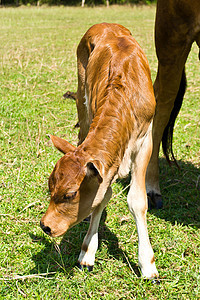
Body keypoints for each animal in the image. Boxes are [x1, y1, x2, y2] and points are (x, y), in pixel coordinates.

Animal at [40, 22, 159, 278]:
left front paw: (147, 263)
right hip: (82, 101)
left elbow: (137, 200)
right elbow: (102, 195)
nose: (45, 226)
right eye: (50, 186)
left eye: (70, 194)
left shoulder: (145, 142)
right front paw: (87, 252)